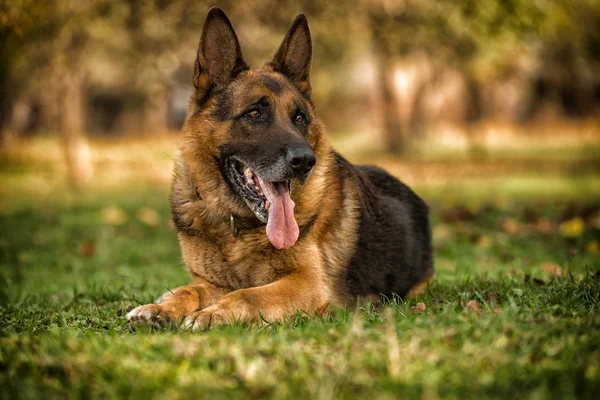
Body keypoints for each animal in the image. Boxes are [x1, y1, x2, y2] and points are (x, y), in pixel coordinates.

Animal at [129, 7, 434, 332]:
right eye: (254, 113)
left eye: (299, 118)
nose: (305, 161)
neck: (238, 228)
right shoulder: (213, 282)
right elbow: (191, 290)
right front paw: (161, 309)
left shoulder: (306, 283)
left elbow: (247, 294)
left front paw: (212, 314)